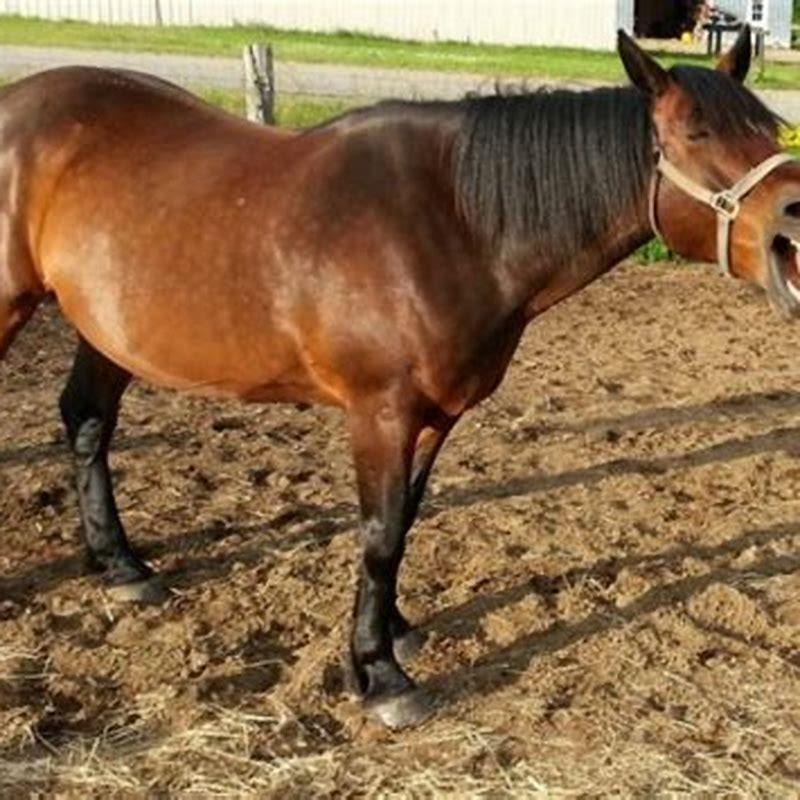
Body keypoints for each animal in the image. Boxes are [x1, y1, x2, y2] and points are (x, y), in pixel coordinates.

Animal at [0, 27, 798, 729]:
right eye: (697, 134)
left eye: (770, 128)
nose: (790, 237)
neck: (451, 223)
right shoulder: (380, 413)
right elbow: (380, 532)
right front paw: (379, 676)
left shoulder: (437, 415)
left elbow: (403, 524)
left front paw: (395, 629)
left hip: (106, 328)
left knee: (87, 420)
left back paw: (120, 565)